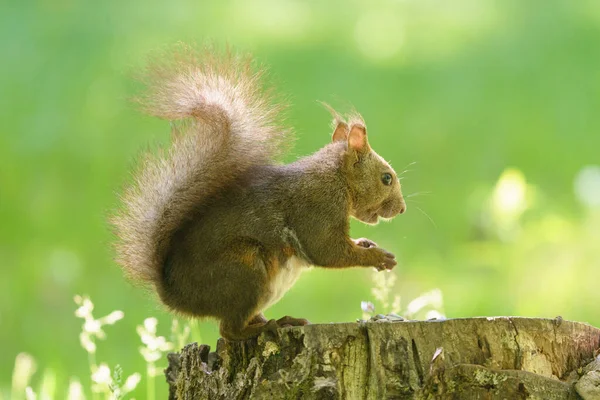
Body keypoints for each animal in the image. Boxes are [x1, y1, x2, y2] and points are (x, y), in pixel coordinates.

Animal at [110, 44, 406, 340]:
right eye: (386, 178)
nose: (402, 209)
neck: (337, 179)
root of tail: (174, 295)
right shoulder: (317, 208)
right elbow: (328, 251)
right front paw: (377, 257)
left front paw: (366, 243)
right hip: (245, 269)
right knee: (229, 330)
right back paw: (268, 326)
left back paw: (278, 320)